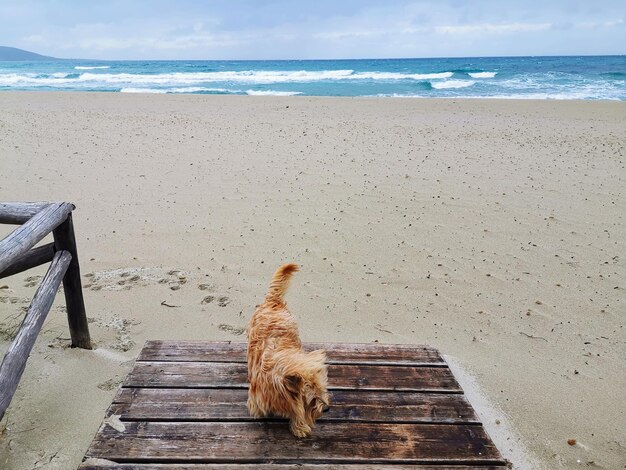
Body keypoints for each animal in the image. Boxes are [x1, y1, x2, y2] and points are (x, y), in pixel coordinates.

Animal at [246, 264, 330, 436]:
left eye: (322, 389)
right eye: (312, 399)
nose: (326, 408)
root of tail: (273, 301)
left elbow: (297, 411)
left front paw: (299, 426)